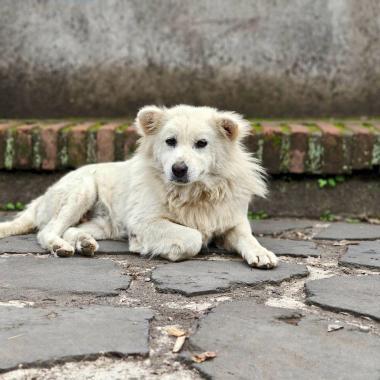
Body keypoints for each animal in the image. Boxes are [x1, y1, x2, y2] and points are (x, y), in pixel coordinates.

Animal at [0, 105, 280, 268]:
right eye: (170, 141)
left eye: (202, 143)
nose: (178, 169)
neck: (194, 194)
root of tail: (40, 200)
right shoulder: (145, 222)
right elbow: (193, 237)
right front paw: (165, 250)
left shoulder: (232, 220)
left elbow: (247, 237)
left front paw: (261, 253)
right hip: (82, 189)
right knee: (47, 232)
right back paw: (62, 247)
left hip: (102, 224)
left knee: (70, 230)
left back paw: (84, 243)